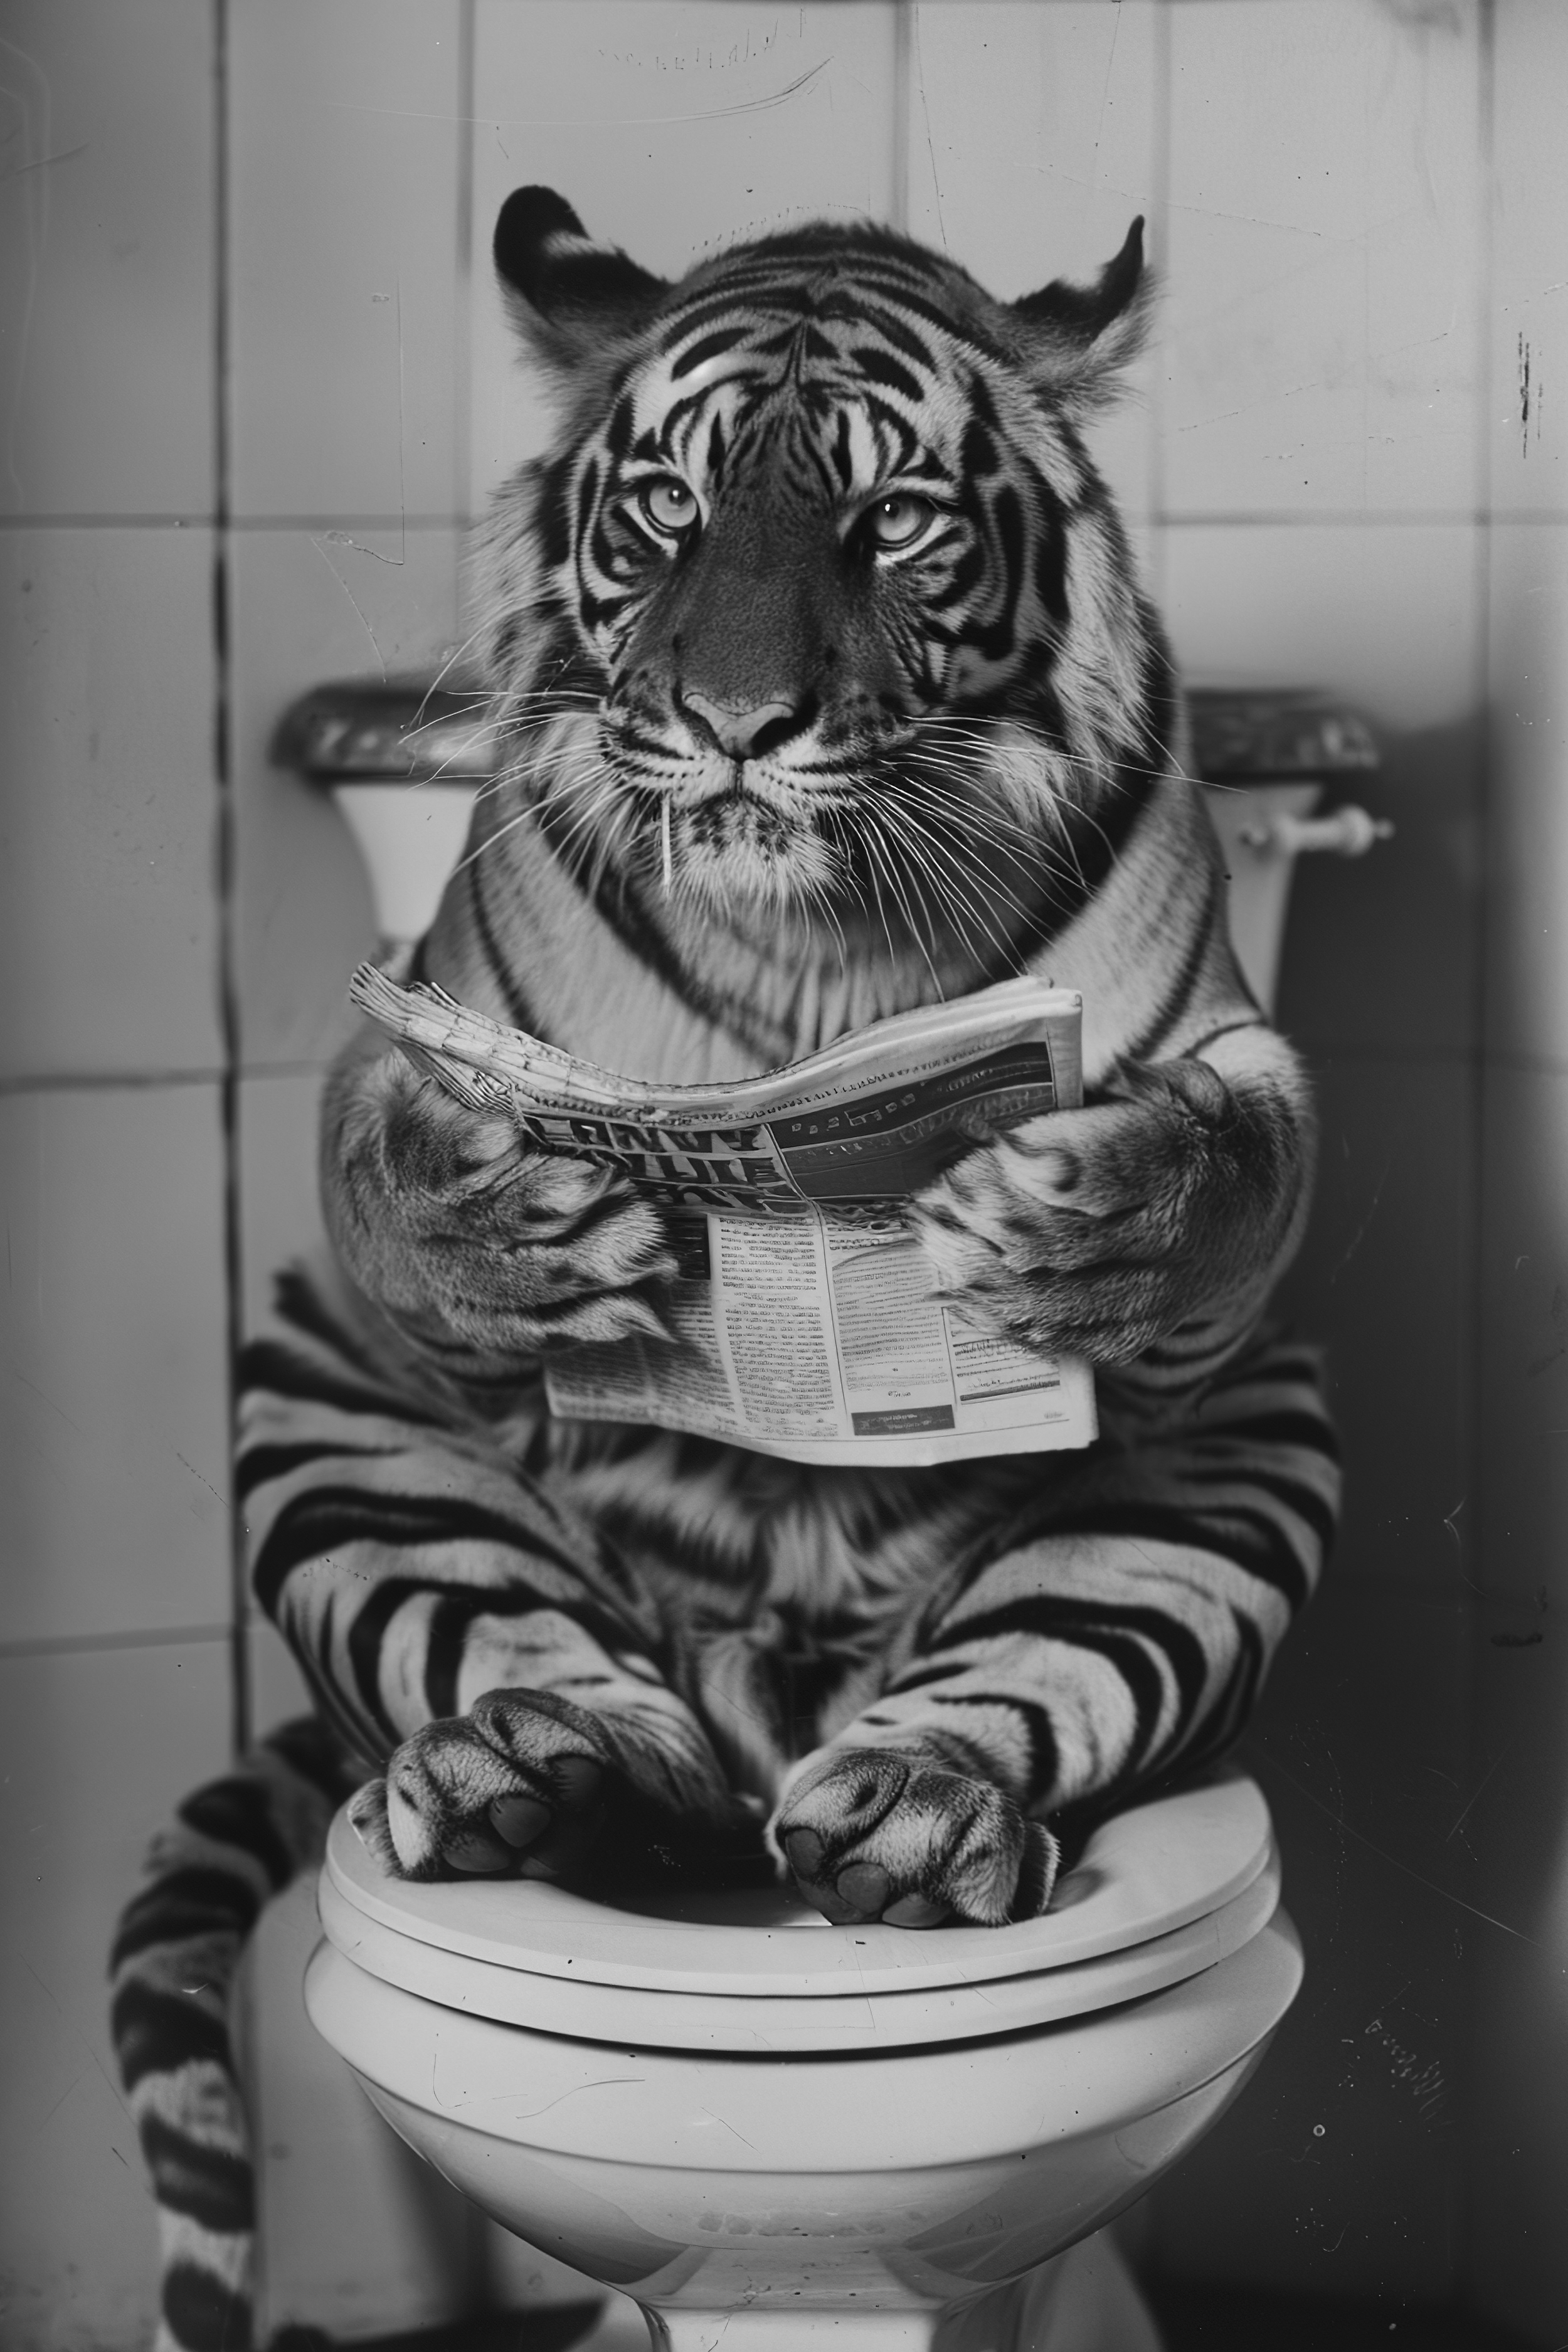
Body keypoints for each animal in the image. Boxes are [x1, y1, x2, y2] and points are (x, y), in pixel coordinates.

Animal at [111, 186, 1339, 2352]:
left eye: (888, 518)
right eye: (669, 507)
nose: (734, 726)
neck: (819, 950)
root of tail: (773, 1700)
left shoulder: (1225, 1055)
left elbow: (1228, 1151)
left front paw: (1078, 1215)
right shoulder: (409, 1029)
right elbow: (384, 1144)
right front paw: (515, 1226)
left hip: (1238, 1444)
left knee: (1021, 1675)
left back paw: (912, 1811)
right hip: (325, 1397)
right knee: (518, 1661)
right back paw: (530, 1771)